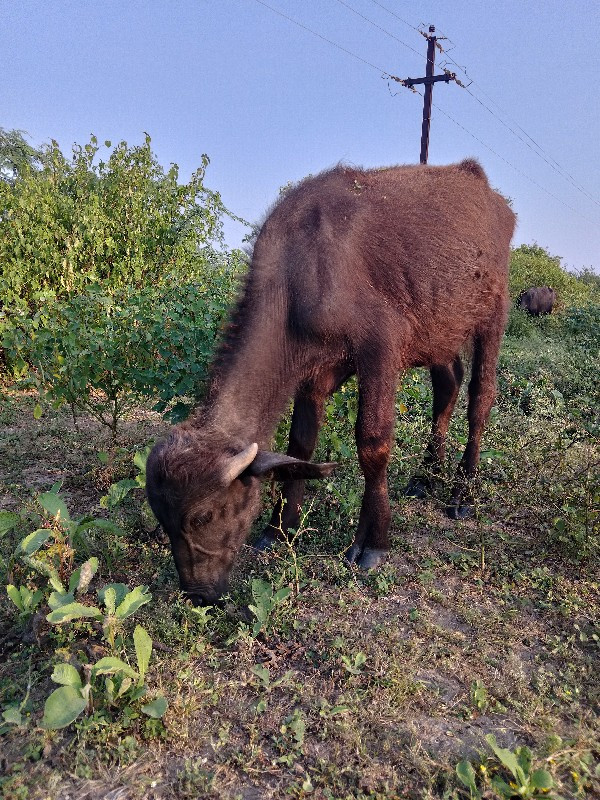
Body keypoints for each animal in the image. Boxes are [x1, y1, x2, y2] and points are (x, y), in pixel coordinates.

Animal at [146, 159, 516, 604]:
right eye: (163, 519)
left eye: (203, 516)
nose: (199, 593)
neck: (302, 273)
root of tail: (484, 187)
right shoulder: (313, 373)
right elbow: (300, 445)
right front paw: (279, 529)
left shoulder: (381, 348)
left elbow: (372, 444)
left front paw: (371, 543)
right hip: (439, 330)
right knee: (448, 386)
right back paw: (426, 477)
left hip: (492, 313)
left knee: (481, 398)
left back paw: (463, 493)